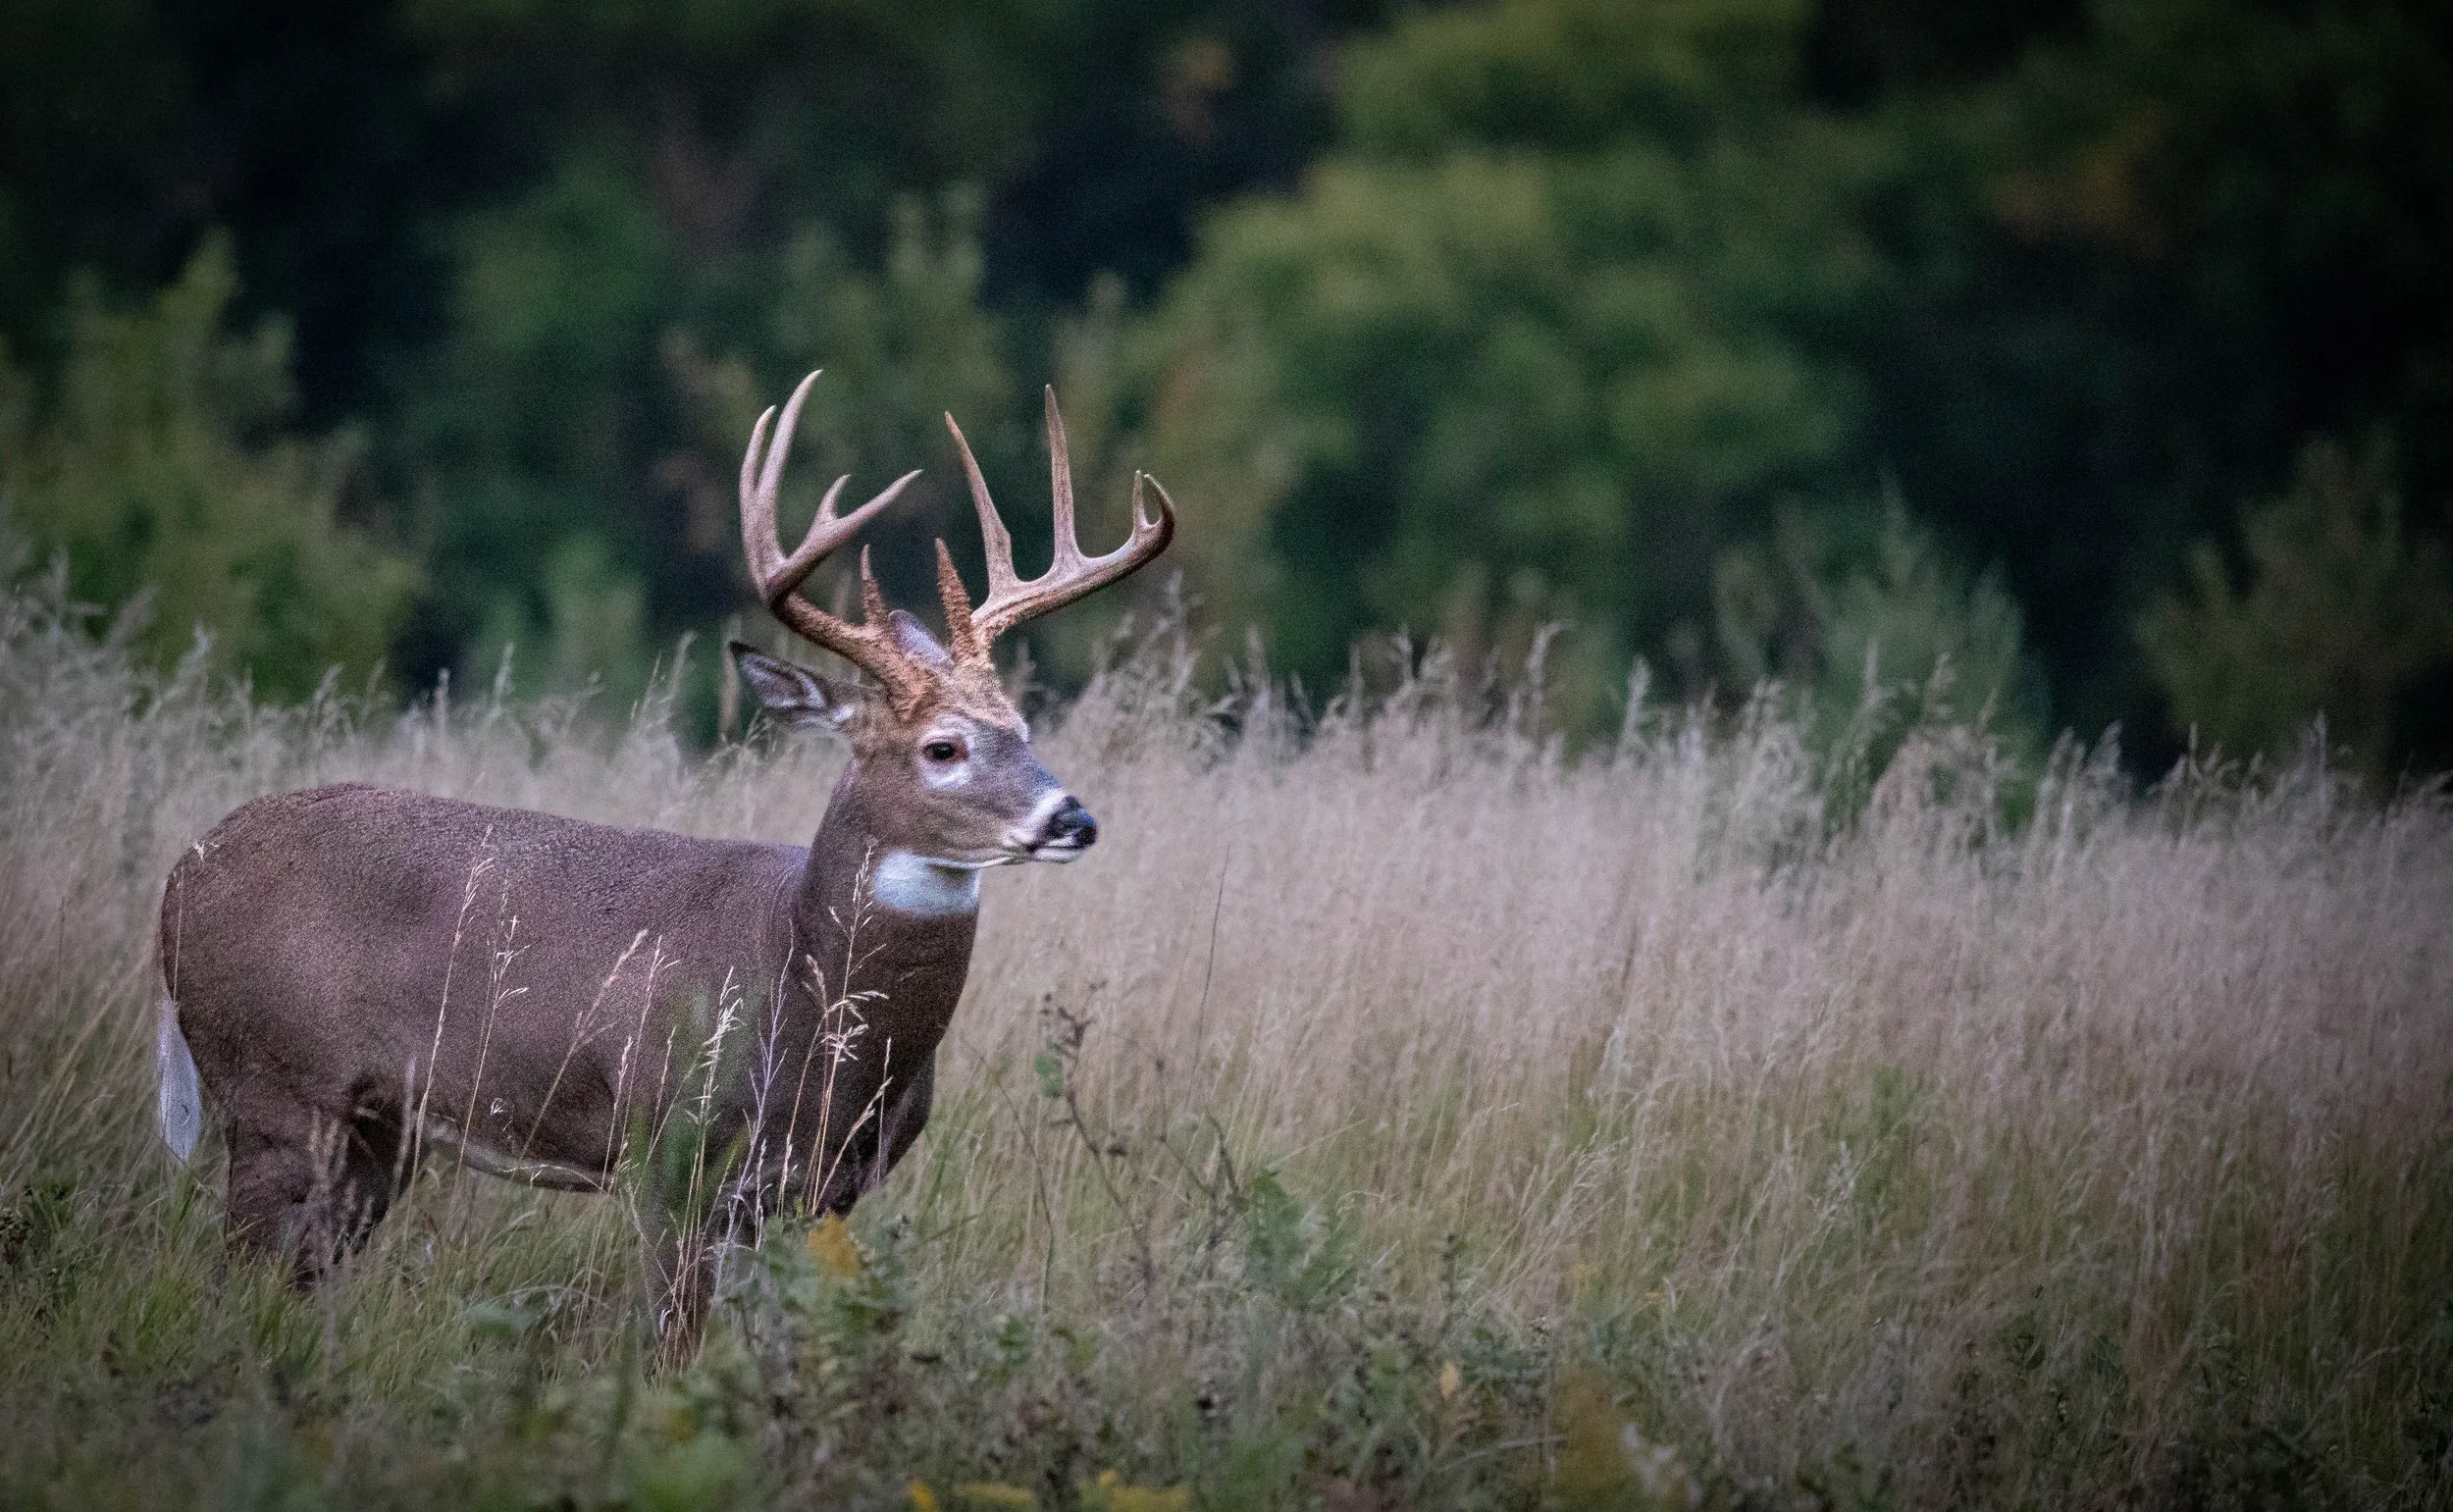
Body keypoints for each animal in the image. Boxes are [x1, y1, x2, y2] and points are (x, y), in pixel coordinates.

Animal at [153, 371, 1173, 1362]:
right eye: (943, 747)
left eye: (1025, 729)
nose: (1073, 817)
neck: (797, 978)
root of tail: (179, 878)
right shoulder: (666, 1149)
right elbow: (673, 1347)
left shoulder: (827, 1189)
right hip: (276, 1090)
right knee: (231, 1275)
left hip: (375, 1132)